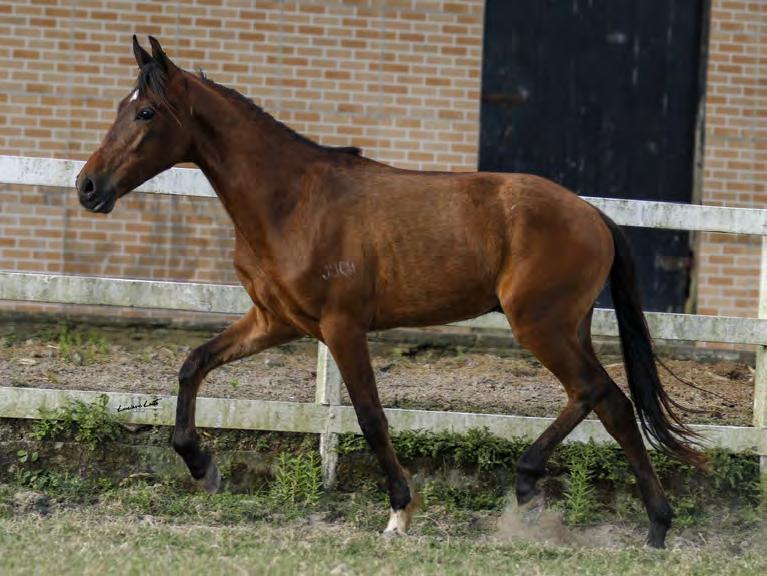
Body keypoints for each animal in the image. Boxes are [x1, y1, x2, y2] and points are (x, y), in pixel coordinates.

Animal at [75, 37, 704, 548]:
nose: (87, 187)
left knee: (596, 392)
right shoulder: (275, 321)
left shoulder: (342, 327)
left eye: (146, 111)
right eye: (120, 107)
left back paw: (546, 488)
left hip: (540, 325)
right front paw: (200, 464)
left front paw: (401, 511)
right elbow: (193, 364)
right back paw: (651, 526)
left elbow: (371, 416)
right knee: (610, 403)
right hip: (565, 327)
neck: (291, 201)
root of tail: (594, 215)